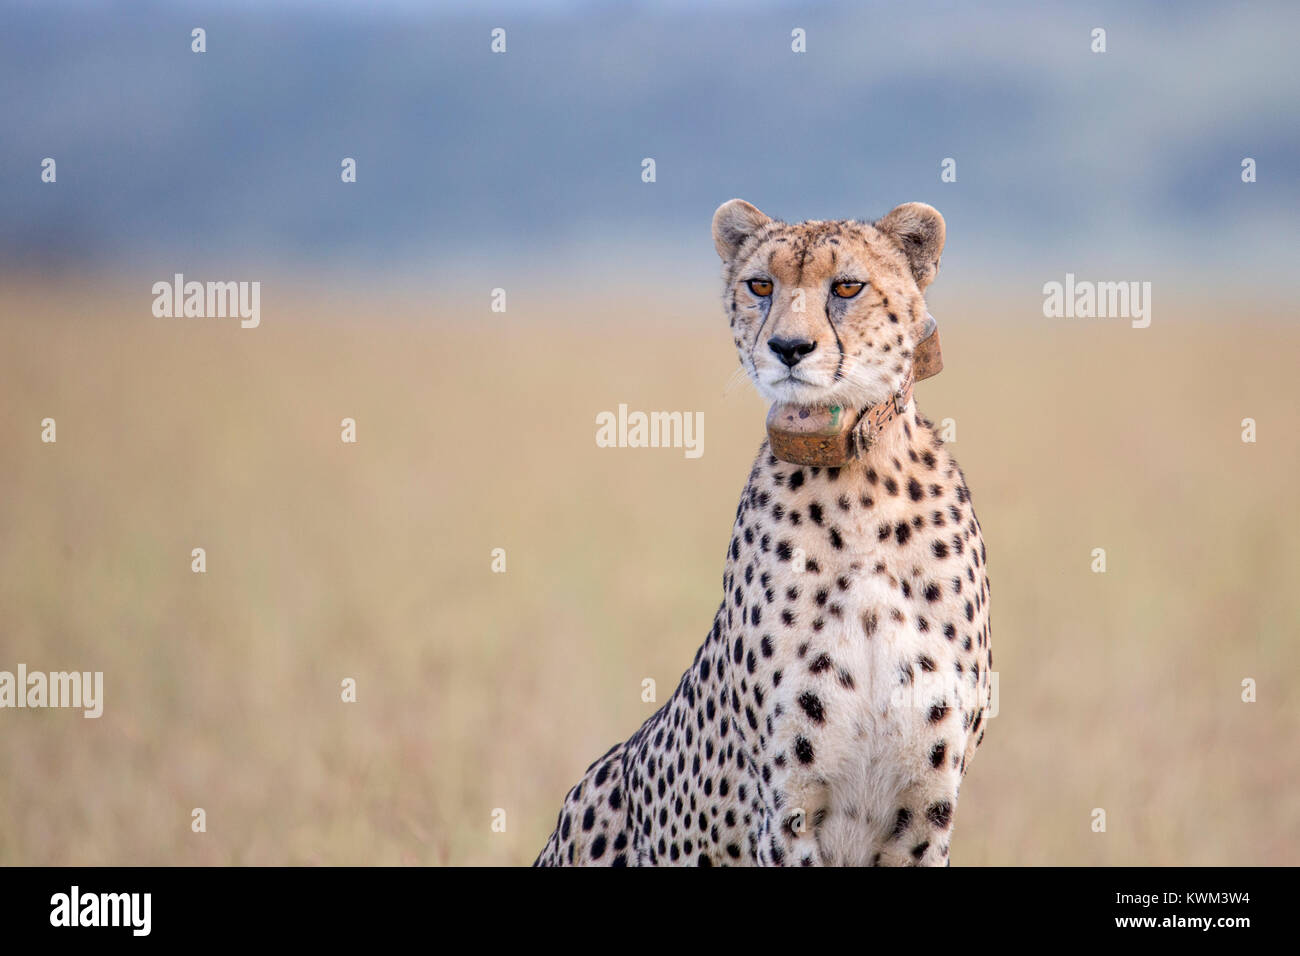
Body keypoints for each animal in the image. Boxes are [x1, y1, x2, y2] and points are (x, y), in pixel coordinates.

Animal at [533, 200, 987, 868]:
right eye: (760, 285)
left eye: (846, 287)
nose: (789, 347)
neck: (857, 484)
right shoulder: (787, 811)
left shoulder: (925, 813)